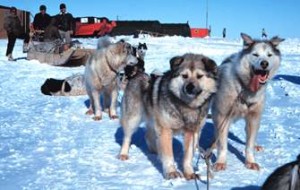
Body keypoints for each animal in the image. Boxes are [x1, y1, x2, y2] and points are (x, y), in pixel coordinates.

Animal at [210, 32, 284, 171]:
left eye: (269, 55)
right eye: (255, 54)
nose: (264, 63)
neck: (244, 87)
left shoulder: (253, 118)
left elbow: (249, 145)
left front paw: (250, 161)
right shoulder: (222, 116)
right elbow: (222, 145)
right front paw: (221, 161)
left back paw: (256, 145)